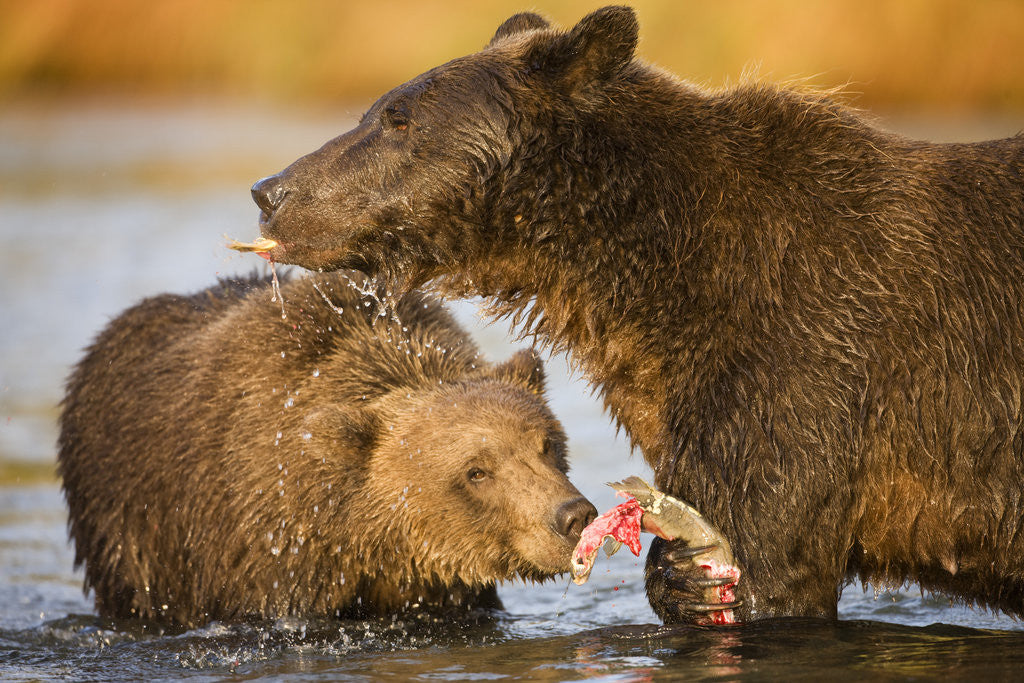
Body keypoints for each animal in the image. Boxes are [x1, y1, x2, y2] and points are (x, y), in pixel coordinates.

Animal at [245, 5, 1024, 625]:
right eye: (378, 110)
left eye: (397, 119)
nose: (269, 191)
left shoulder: (807, 361)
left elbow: (768, 546)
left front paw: (699, 584)